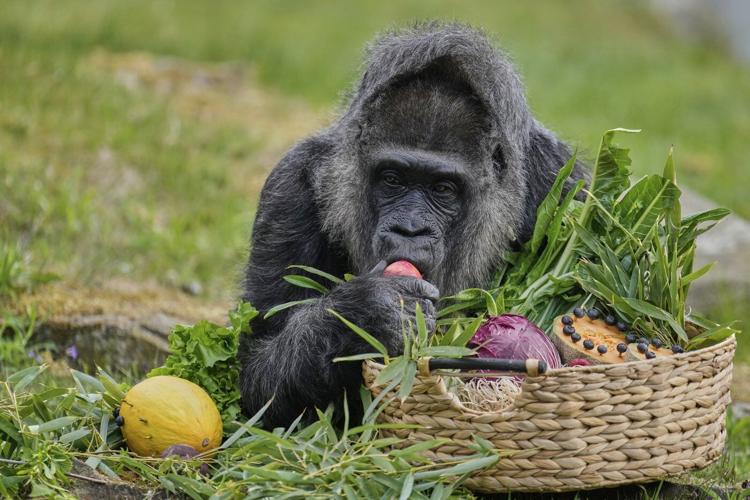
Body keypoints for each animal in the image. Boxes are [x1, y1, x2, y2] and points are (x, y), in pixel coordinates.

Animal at [238, 23, 587, 428]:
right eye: (393, 180)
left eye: (443, 189)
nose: (410, 229)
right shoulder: (289, 188)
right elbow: (258, 372)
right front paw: (366, 314)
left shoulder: (569, 183)